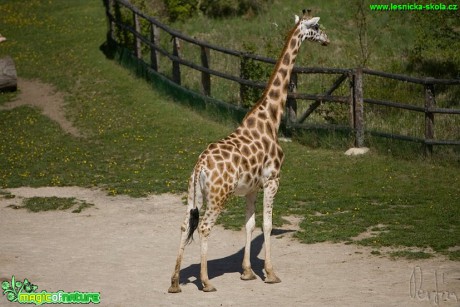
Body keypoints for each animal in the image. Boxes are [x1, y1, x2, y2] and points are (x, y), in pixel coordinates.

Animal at [167, 9, 328, 294]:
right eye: (317, 27)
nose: (328, 40)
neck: (271, 119)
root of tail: (199, 167)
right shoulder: (273, 180)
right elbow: (268, 223)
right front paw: (270, 273)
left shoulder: (252, 187)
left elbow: (249, 224)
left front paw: (247, 272)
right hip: (218, 197)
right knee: (204, 227)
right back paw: (206, 282)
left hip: (193, 195)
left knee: (185, 224)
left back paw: (175, 282)